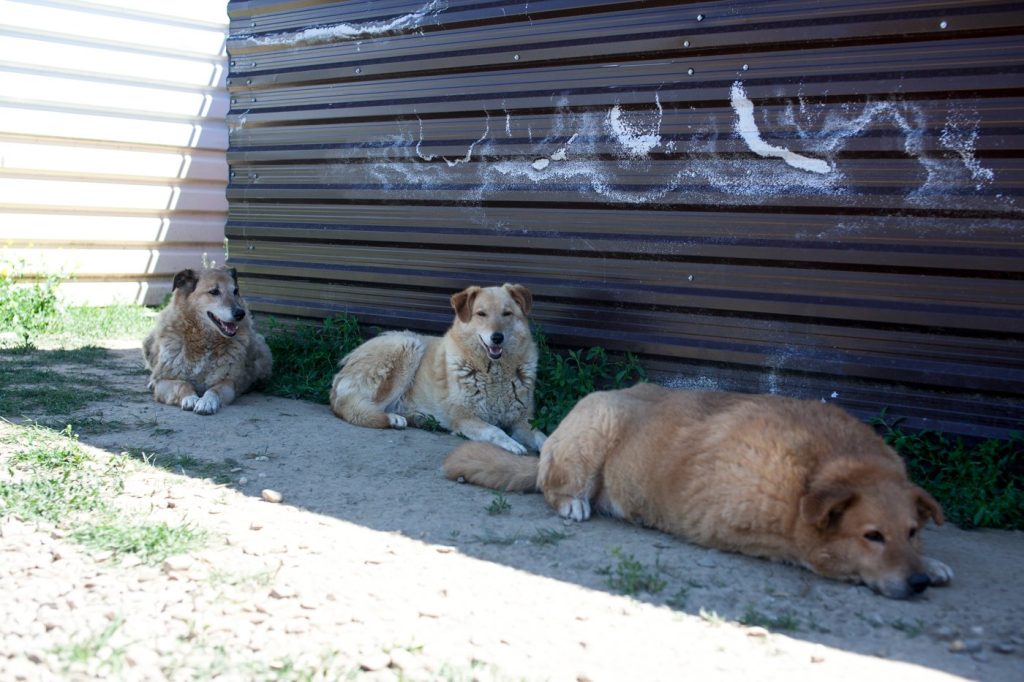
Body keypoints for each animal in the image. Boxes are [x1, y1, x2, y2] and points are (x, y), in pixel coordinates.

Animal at [144, 266, 274, 413]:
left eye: (235, 291)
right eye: (214, 292)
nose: (240, 314)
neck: (203, 341)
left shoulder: (228, 382)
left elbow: (213, 390)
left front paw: (206, 402)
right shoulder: (164, 381)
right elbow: (183, 384)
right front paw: (190, 398)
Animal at [331, 280, 548, 450]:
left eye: (507, 313)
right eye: (481, 314)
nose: (497, 338)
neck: (494, 372)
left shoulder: (521, 420)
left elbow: (543, 437)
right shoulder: (464, 417)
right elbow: (495, 430)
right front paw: (512, 444)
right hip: (408, 344)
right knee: (351, 407)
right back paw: (392, 418)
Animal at [444, 378, 954, 598]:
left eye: (912, 532)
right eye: (872, 536)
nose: (917, 583)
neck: (822, 467)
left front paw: (933, 563)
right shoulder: (749, 529)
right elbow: (810, 551)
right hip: (597, 423)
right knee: (553, 485)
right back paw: (572, 503)